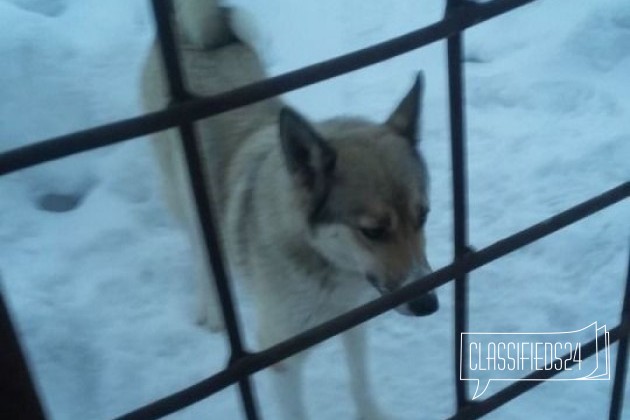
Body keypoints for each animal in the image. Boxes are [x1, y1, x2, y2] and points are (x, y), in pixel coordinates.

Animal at [143, 1, 440, 418]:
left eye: (423, 216)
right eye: (373, 230)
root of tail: (189, 33)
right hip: (187, 196)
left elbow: (360, 380)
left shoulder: (355, 319)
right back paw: (214, 311)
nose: (429, 304)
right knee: (202, 252)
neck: (327, 264)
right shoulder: (280, 358)